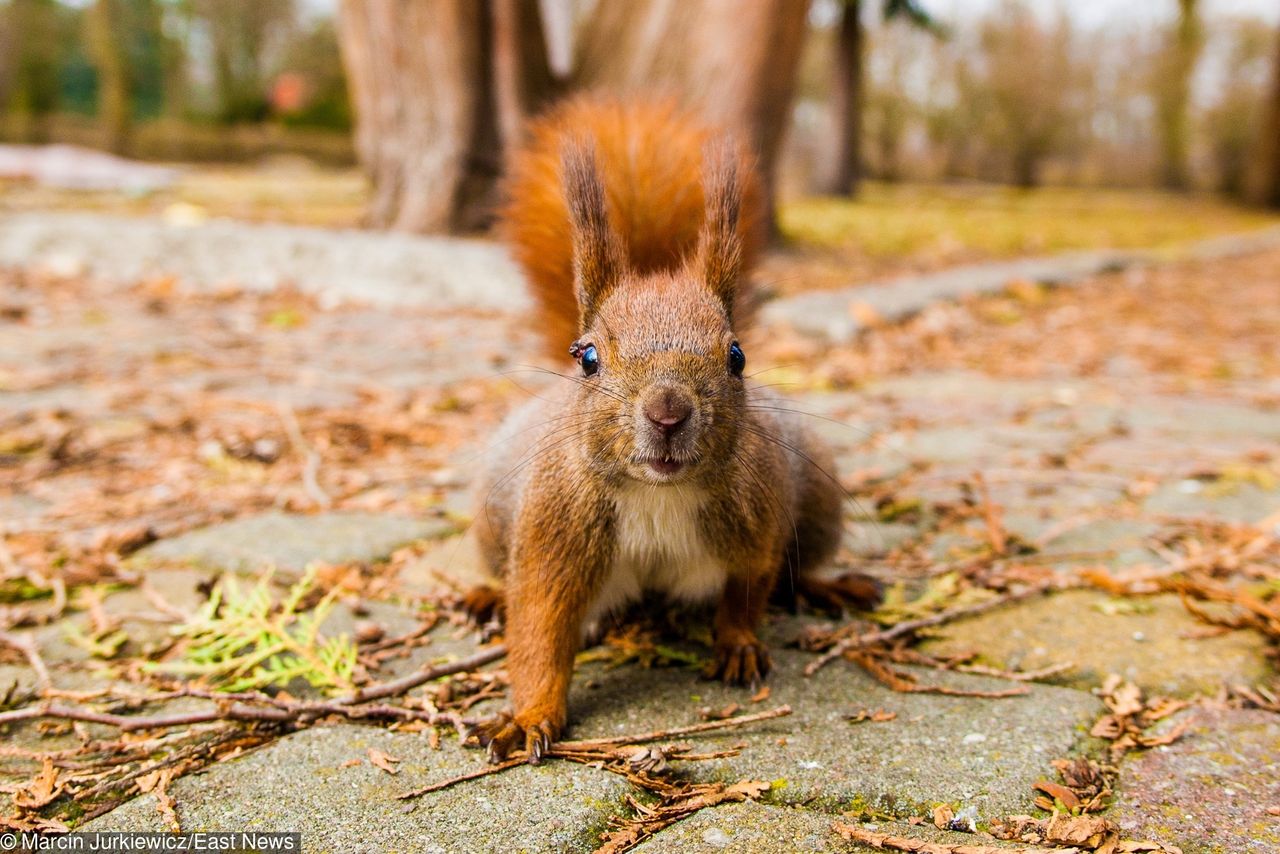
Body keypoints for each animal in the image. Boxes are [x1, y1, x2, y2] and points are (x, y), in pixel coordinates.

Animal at [471, 96, 880, 763]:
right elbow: (538, 627)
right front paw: (528, 716)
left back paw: (829, 587)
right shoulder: (556, 528)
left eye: (737, 355)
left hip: (818, 506)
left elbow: (749, 588)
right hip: (492, 516)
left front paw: (737, 645)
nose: (667, 413)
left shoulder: (755, 518)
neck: (658, 495)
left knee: (800, 566)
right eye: (587, 357)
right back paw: (481, 597)